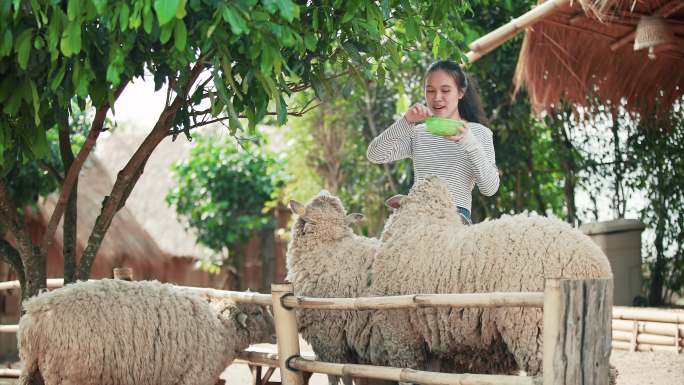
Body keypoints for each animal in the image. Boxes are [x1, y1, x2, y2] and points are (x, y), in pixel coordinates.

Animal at [16, 278, 272, 384]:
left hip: (37, 370)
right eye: (258, 312)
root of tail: (34, 312)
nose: (275, 334)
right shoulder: (192, 377)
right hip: (69, 374)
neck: (220, 331)